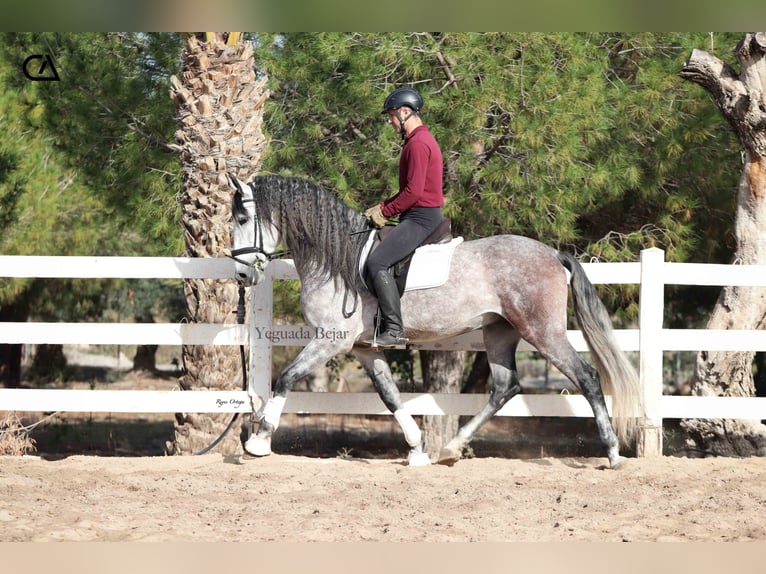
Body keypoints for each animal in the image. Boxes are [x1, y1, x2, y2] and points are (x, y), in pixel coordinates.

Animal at [231, 174, 644, 468]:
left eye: (242, 217)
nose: (242, 275)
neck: (336, 260)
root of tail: (554, 254)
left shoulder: (332, 339)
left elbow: (286, 377)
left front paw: (258, 441)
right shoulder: (364, 348)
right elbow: (389, 395)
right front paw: (417, 450)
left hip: (542, 332)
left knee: (587, 378)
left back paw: (612, 453)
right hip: (499, 332)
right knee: (505, 387)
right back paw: (450, 448)